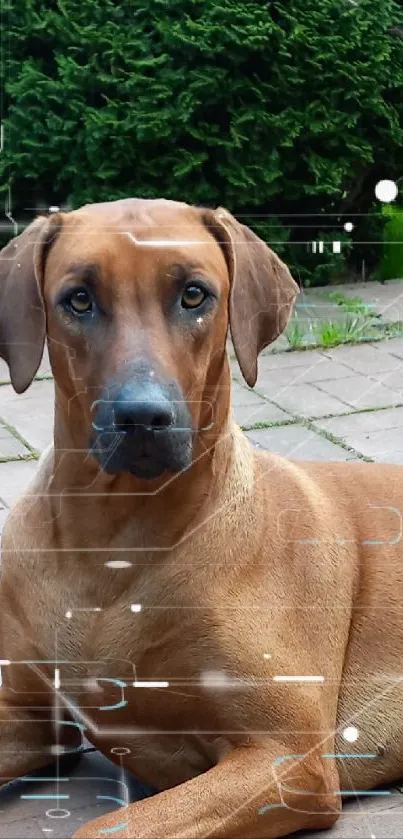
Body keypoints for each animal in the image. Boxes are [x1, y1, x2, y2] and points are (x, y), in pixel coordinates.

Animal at [0, 199, 403, 839]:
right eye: (79, 299)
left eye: (194, 294)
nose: (142, 418)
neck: (114, 539)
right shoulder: (28, 713)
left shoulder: (286, 756)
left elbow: (104, 829)